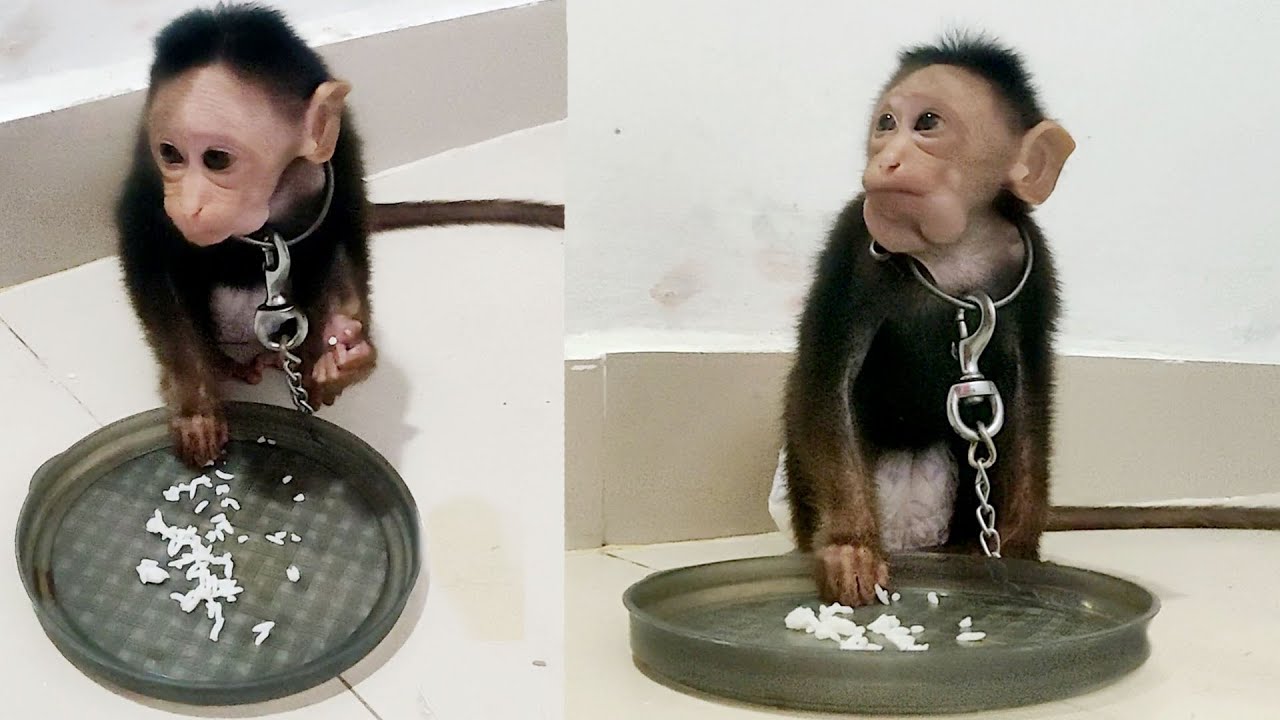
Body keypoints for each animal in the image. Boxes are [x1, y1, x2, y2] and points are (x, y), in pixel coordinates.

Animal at [117, 4, 563, 468]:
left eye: (217, 159)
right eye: (170, 154)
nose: (186, 205)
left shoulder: (344, 155)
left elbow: (341, 245)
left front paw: (340, 351)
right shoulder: (148, 185)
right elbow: (151, 265)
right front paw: (196, 405)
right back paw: (227, 364)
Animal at [778, 32, 1280, 608]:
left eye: (926, 123)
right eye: (885, 123)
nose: (885, 161)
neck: (956, 247)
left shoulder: (1035, 267)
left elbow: (1026, 396)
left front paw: (1017, 552)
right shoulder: (852, 244)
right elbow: (828, 380)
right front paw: (850, 545)